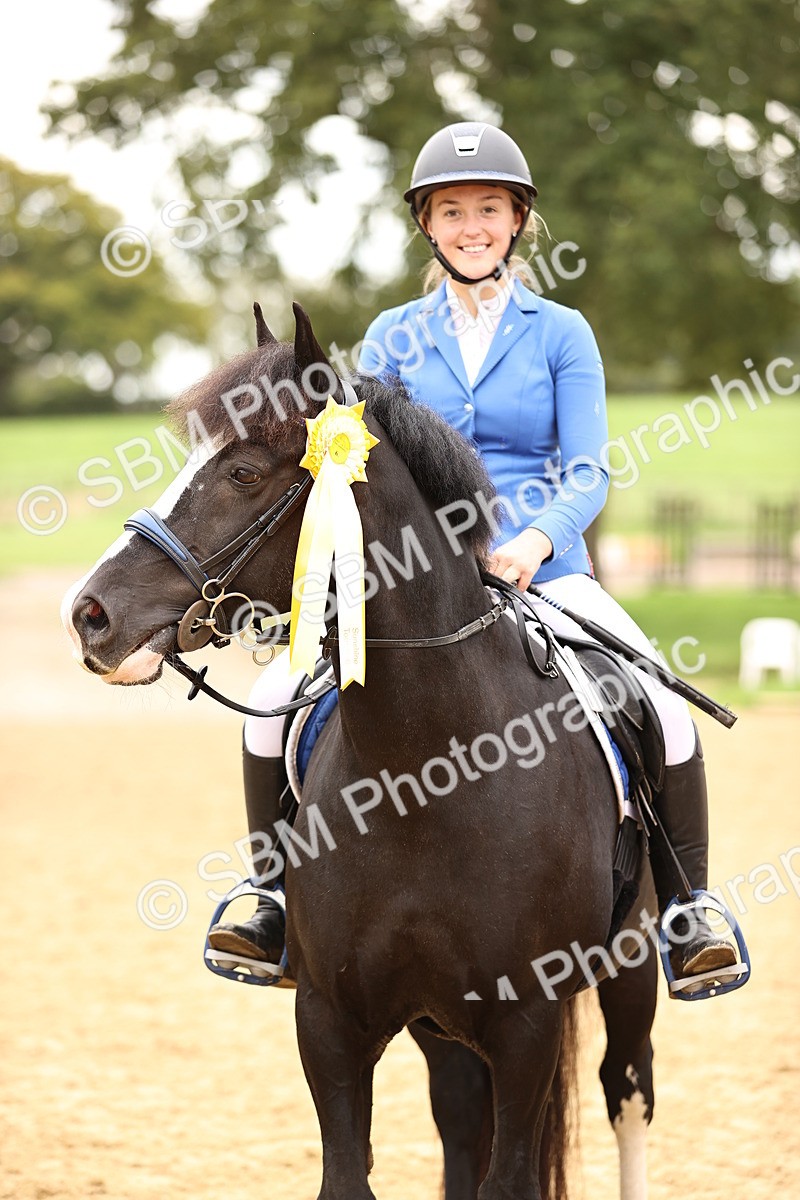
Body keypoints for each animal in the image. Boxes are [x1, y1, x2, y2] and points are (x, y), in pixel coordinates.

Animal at [62, 303, 659, 1200]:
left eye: (242, 472)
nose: (90, 615)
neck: (428, 770)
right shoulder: (331, 1021)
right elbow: (351, 1173)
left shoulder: (527, 1023)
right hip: (442, 1026)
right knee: (461, 1121)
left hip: (629, 975)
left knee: (627, 1093)